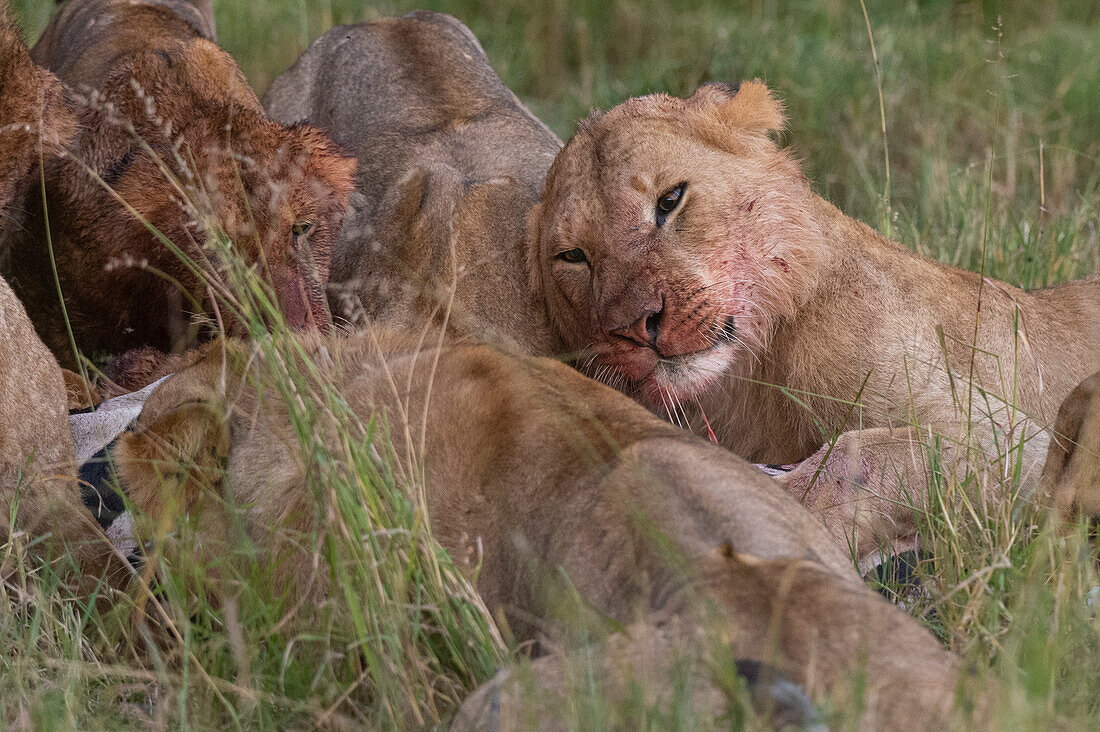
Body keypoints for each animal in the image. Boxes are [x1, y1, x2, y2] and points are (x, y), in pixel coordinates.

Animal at [530, 82, 1100, 563]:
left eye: (670, 200)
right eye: (574, 256)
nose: (634, 327)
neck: (748, 381)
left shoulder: (1017, 441)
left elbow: (853, 455)